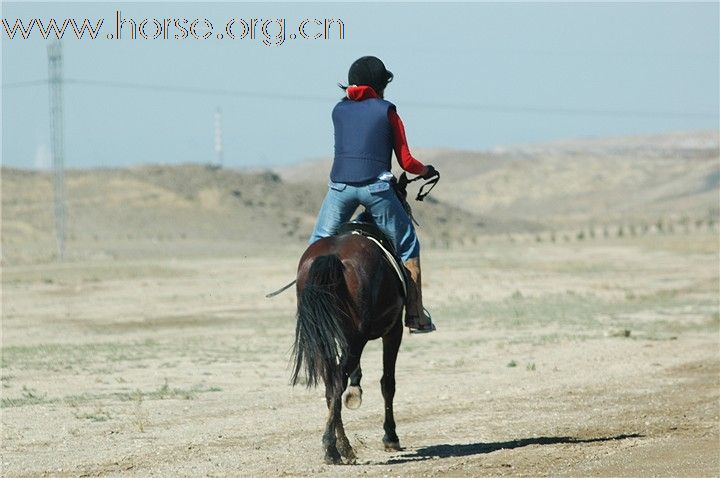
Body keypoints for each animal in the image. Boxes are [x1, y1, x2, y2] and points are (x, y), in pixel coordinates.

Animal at [292, 231, 404, 464]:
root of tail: (332, 256)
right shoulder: (394, 330)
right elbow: (388, 383)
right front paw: (391, 437)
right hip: (356, 337)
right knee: (337, 381)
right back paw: (335, 447)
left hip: (322, 337)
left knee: (330, 383)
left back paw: (340, 446)